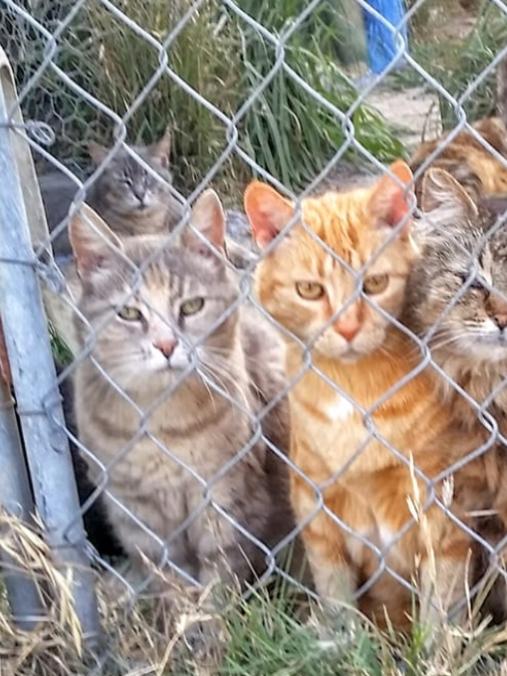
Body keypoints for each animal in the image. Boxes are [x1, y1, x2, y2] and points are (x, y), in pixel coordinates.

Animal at [246, 165, 492, 632]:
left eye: (375, 284)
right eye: (310, 290)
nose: (347, 329)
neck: (353, 390)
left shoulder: (442, 509)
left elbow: (442, 602)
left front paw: (436, 642)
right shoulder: (315, 504)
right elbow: (336, 594)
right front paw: (342, 638)